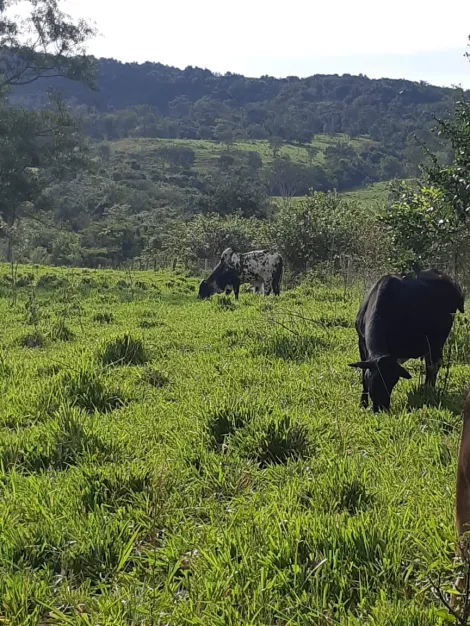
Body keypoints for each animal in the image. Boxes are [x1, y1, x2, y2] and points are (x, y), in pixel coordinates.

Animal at [346, 266, 464, 410]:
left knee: (433, 365)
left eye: (392, 381)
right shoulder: (361, 343)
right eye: (372, 378)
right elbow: (363, 373)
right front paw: (363, 403)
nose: (381, 407)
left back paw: (428, 389)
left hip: (438, 340)